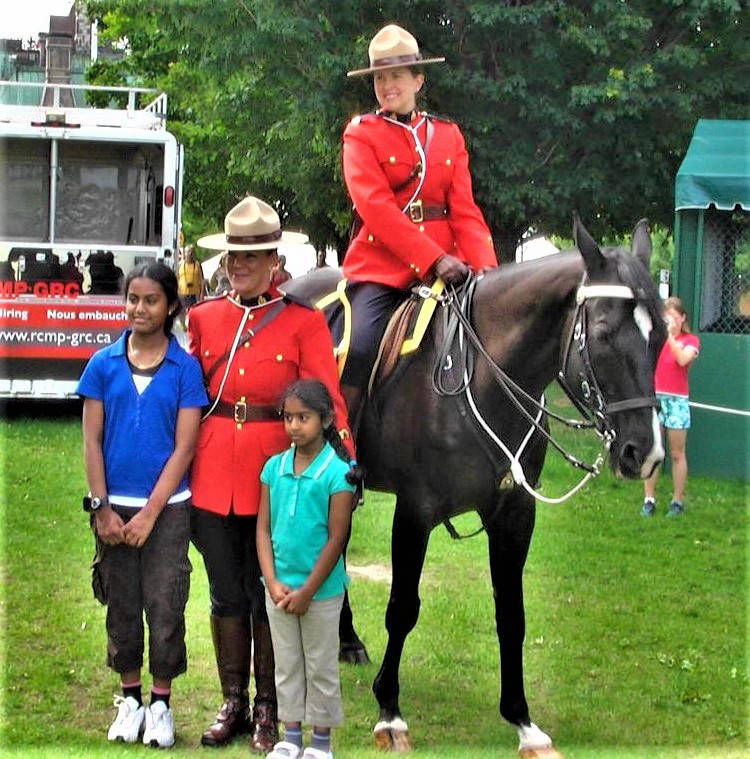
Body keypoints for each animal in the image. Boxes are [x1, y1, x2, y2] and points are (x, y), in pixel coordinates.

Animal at [338, 217, 668, 756]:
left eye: (659, 333)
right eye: (601, 333)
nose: (646, 453)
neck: (480, 375)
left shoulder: (514, 514)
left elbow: (512, 614)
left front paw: (522, 719)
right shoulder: (414, 511)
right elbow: (402, 607)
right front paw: (389, 710)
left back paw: (346, 640)